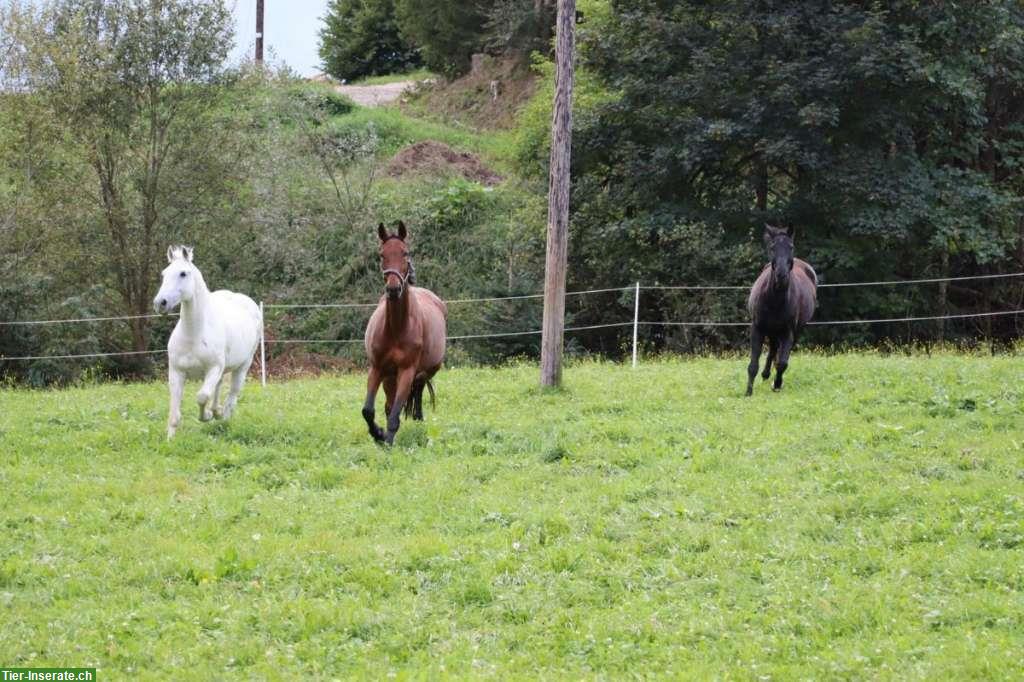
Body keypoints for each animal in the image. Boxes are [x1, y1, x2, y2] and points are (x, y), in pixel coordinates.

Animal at [154, 246, 262, 438]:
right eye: (164, 274)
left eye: (183, 273)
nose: (160, 303)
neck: (193, 335)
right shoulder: (176, 372)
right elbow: (174, 413)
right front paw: (170, 439)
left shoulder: (213, 369)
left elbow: (202, 396)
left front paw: (207, 416)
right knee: (219, 387)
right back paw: (217, 411)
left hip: (242, 366)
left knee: (232, 396)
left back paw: (222, 419)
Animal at [362, 220, 446, 444]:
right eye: (381, 254)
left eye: (405, 253)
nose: (393, 289)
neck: (396, 329)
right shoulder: (377, 369)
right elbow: (368, 410)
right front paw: (378, 434)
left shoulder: (407, 371)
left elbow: (395, 415)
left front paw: (388, 440)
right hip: (390, 377)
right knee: (390, 404)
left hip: (424, 372)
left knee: (416, 393)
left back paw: (418, 420)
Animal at [745, 223, 815, 393]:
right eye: (772, 247)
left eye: (791, 247)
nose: (781, 276)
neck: (774, 299)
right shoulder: (757, 328)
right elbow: (753, 364)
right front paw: (748, 392)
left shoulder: (787, 332)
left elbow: (782, 363)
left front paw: (777, 384)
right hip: (771, 331)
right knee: (772, 349)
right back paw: (765, 374)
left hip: (795, 331)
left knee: (779, 353)